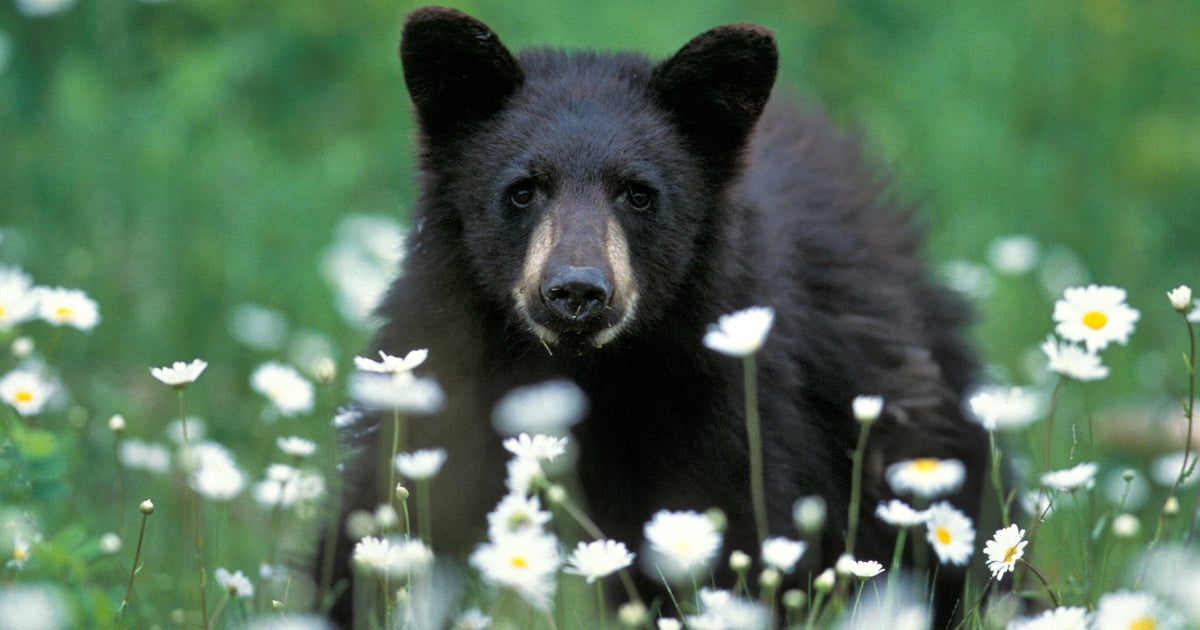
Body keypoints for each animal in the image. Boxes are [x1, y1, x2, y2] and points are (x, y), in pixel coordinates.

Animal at [321, 5, 989, 627]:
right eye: (522, 189)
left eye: (639, 193)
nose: (576, 291)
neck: (583, 380)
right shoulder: (441, 381)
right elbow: (376, 526)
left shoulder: (722, 417)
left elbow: (744, 534)